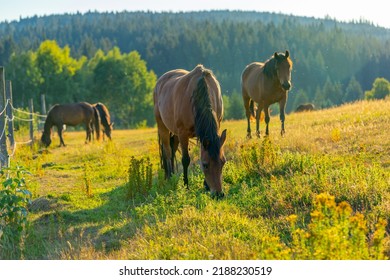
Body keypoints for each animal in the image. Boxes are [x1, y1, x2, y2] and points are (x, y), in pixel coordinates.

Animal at [154, 64, 227, 198]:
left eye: (223, 162)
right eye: (205, 165)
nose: (218, 194)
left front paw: (206, 185)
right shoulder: (183, 133)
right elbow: (185, 160)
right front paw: (186, 186)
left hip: (175, 133)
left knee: (172, 150)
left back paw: (173, 176)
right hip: (163, 127)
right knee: (167, 152)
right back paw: (169, 177)